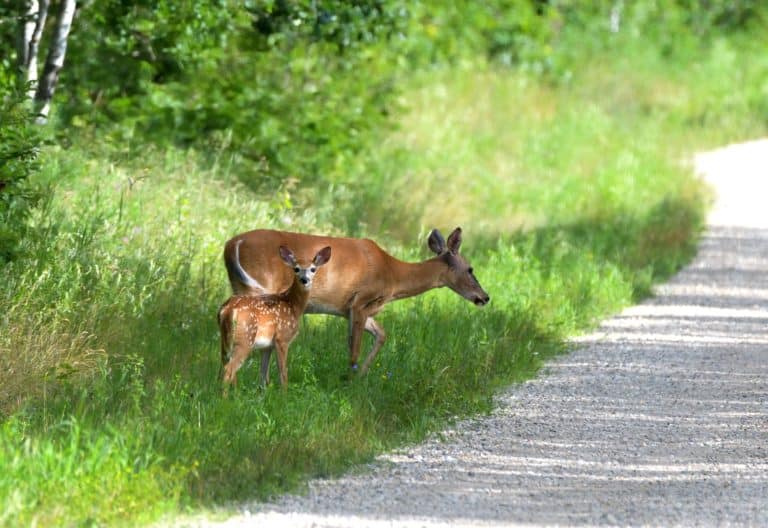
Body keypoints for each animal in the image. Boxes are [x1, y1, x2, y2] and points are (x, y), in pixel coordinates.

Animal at [222, 228, 488, 376]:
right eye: (470, 269)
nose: (485, 297)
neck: (393, 275)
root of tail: (231, 245)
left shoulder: (350, 309)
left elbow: (381, 335)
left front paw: (361, 375)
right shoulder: (361, 301)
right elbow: (354, 349)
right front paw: (350, 380)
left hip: (239, 286)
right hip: (262, 286)